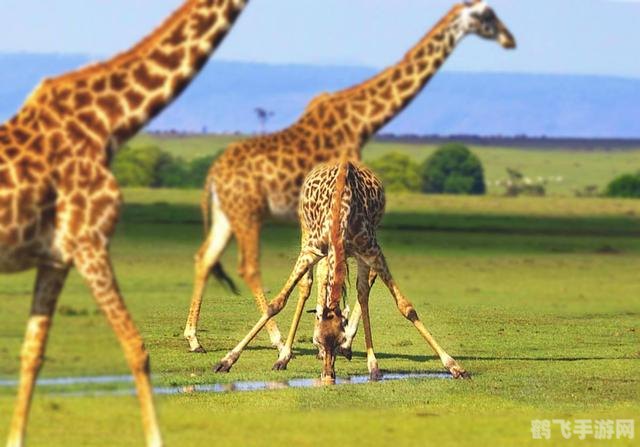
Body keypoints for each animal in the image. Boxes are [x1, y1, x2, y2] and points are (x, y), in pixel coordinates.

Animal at [181, 0, 516, 360]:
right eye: (486, 15)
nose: (509, 39)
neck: (361, 121)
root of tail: (213, 173)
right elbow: (330, 274)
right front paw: (330, 340)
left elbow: (342, 275)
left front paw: (337, 338)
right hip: (248, 212)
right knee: (247, 265)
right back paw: (275, 339)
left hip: (227, 214)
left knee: (205, 257)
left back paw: (194, 338)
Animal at [212, 159, 468, 384]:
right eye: (316, 339)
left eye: (339, 339)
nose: (328, 376)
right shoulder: (313, 249)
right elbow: (277, 303)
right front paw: (227, 360)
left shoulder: (370, 251)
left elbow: (404, 306)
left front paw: (454, 366)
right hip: (307, 233)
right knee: (308, 284)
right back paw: (283, 356)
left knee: (361, 291)